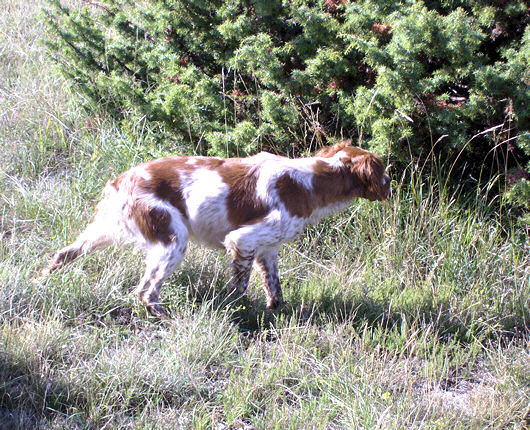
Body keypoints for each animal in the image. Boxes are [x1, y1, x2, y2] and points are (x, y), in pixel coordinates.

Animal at [43, 141, 388, 316]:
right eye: (383, 170)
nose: (391, 183)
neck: (310, 181)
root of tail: (122, 179)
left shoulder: (269, 249)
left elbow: (274, 287)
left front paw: (275, 311)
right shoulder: (242, 240)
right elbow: (241, 286)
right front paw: (236, 310)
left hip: (104, 231)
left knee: (64, 253)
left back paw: (42, 281)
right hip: (172, 240)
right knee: (145, 291)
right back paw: (168, 317)